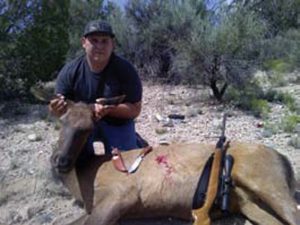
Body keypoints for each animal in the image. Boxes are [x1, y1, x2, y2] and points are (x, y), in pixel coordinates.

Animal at [49, 102, 298, 225]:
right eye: (62, 121)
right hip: (249, 203)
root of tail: (283, 159)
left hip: (267, 182)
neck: (86, 178)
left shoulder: (122, 195)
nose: (59, 160)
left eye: (88, 128)